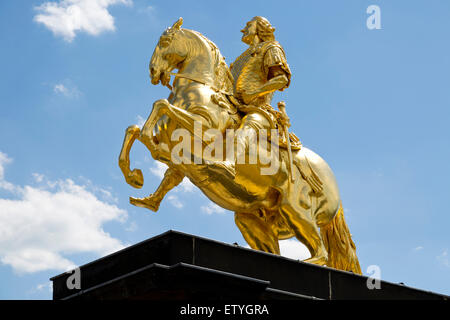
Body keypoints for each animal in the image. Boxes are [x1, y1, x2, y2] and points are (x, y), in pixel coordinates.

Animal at [118, 16, 362, 272]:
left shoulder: (204, 129)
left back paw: (295, 263)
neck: (200, 91)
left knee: (321, 253)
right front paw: (134, 176)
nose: (153, 72)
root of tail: (332, 181)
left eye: (165, 41)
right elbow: (135, 131)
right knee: (276, 250)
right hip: (252, 219)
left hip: (297, 211)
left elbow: (160, 105)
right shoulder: (176, 150)